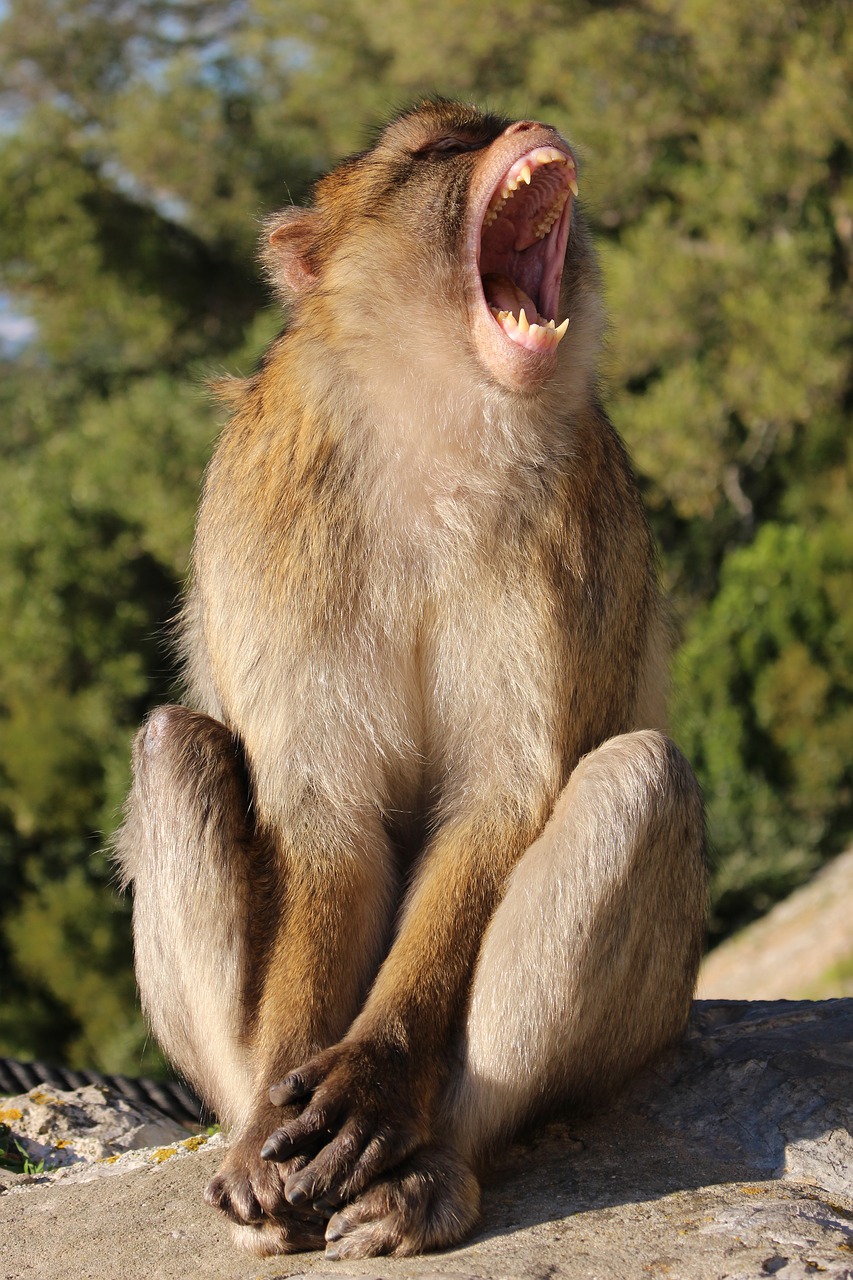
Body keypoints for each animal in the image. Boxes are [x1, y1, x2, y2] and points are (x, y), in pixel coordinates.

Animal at [116, 99, 706, 1259]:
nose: (525, 121)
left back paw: (430, 1165)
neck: (434, 415)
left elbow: (499, 795)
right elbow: (325, 817)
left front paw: (377, 1075)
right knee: (174, 746)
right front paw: (275, 1130)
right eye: (437, 146)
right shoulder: (271, 509)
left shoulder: (570, 530)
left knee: (640, 777)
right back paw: (254, 1155)